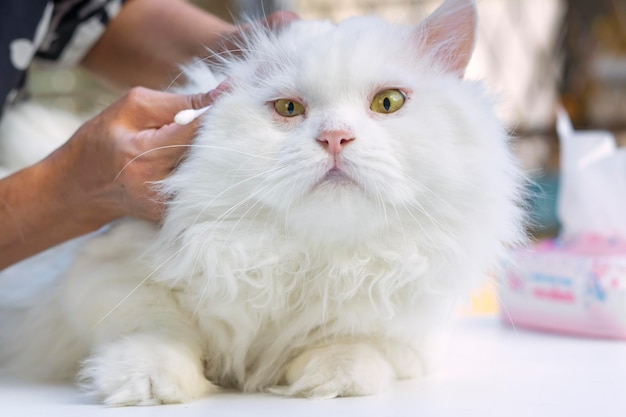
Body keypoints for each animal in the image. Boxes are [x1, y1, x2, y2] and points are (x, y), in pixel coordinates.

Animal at [0, 0, 524, 404]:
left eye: (388, 103)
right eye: (289, 109)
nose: (336, 138)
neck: (307, 259)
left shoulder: (409, 323)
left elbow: (358, 343)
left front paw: (330, 380)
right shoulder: (108, 273)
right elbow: (155, 330)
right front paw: (150, 385)